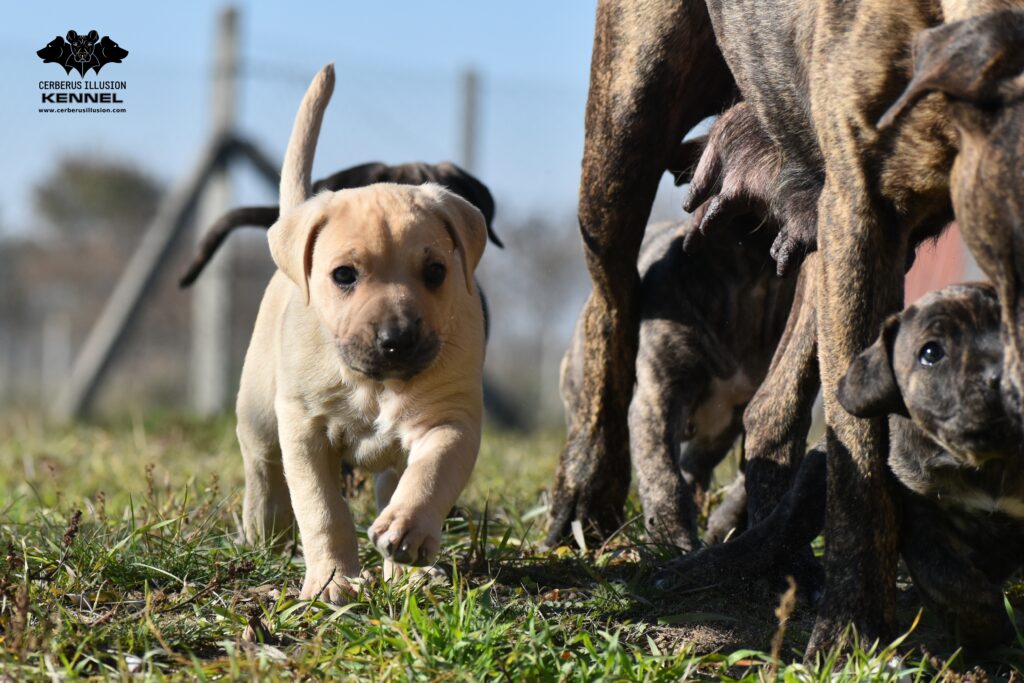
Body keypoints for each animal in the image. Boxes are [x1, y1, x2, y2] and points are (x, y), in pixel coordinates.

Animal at [241, 62, 489, 598]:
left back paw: (413, 573)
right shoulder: (305, 429)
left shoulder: (451, 419)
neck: (375, 385)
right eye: (344, 275)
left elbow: (430, 474)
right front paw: (332, 581)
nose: (397, 341)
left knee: (391, 481)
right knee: (263, 468)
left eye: (436, 272)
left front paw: (408, 531)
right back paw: (265, 530)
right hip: (259, 413)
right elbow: (322, 509)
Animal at [663, 282, 1024, 651]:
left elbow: (970, 572)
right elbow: (946, 577)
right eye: (930, 353)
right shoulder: (920, 509)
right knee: (775, 532)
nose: (1002, 378)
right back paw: (694, 568)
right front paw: (985, 628)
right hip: (814, 478)